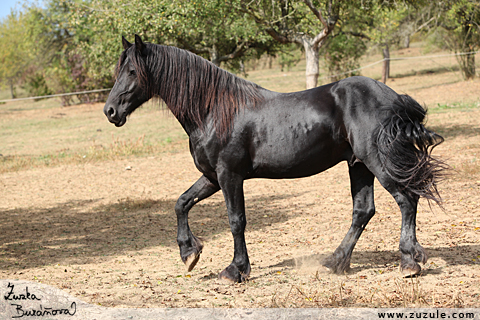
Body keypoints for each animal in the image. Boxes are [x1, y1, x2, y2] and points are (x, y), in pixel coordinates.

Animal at [104, 35, 446, 282]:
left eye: (132, 71)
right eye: (119, 70)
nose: (110, 111)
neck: (213, 110)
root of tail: (391, 97)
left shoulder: (229, 175)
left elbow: (236, 221)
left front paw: (235, 270)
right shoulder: (212, 176)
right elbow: (181, 203)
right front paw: (189, 253)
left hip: (377, 161)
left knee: (406, 200)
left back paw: (408, 261)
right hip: (358, 166)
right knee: (363, 211)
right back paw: (335, 262)